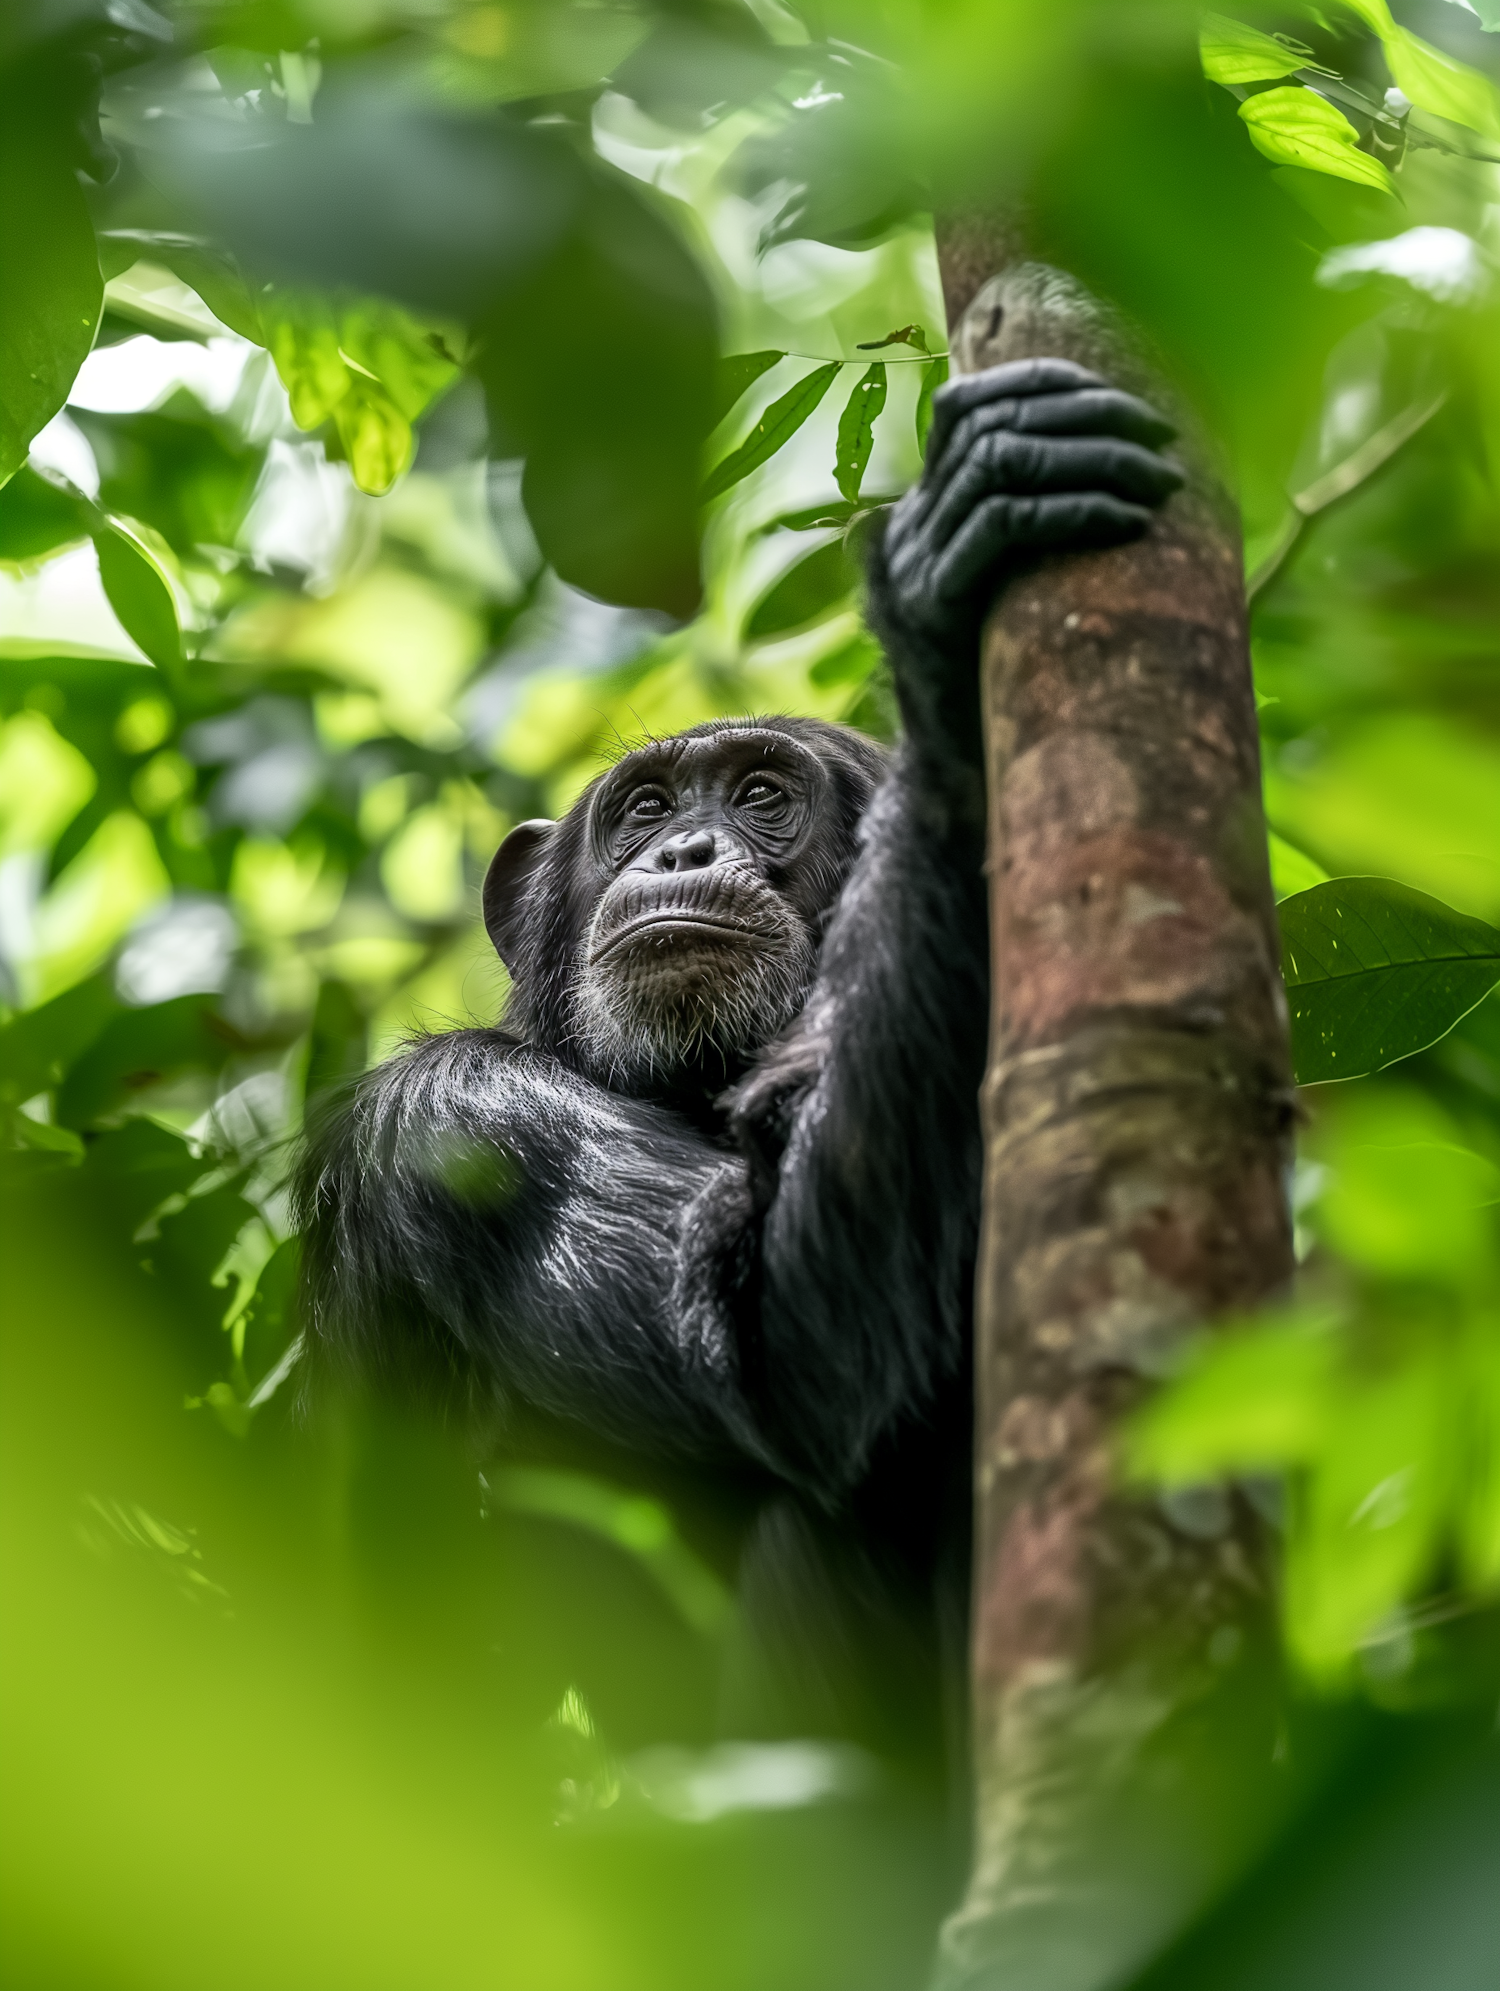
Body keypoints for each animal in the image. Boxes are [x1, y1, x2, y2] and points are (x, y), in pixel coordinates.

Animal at [294, 366, 1179, 1783]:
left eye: (764, 795)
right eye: (647, 811)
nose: (687, 850)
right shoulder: (455, 1125)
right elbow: (775, 1358)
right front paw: (939, 608)